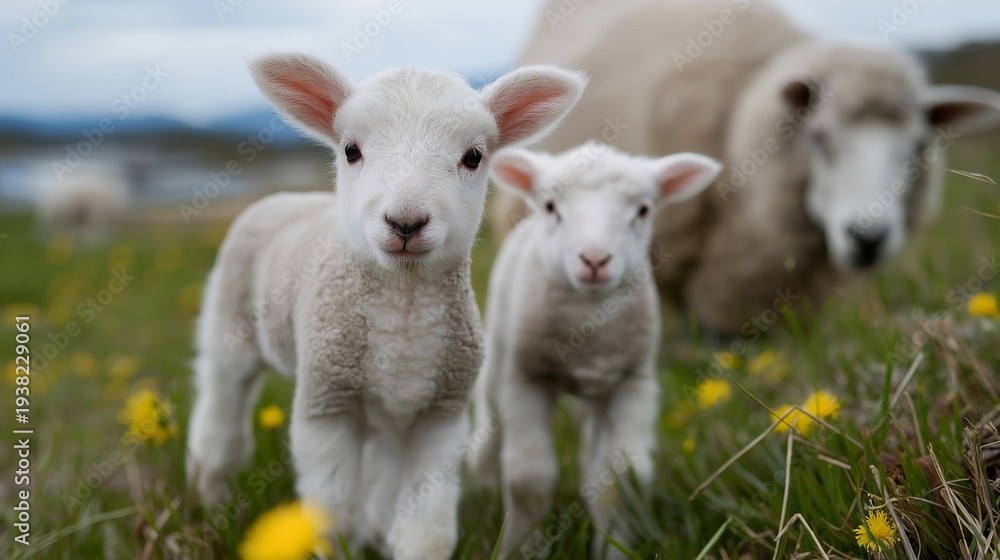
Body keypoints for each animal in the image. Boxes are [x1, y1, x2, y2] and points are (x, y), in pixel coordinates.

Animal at [184, 52, 585, 560]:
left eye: (473, 157)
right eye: (351, 150)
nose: (406, 222)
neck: (404, 312)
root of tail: (284, 197)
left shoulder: (440, 414)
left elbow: (426, 529)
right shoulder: (326, 403)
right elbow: (333, 514)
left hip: (387, 410)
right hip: (229, 331)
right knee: (219, 425)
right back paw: (212, 500)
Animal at [470, 143, 721, 558]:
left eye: (643, 210)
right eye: (551, 206)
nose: (594, 260)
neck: (587, 322)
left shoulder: (632, 383)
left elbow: (621, 479)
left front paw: (615, 547)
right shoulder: (525, 380)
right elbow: (528, 478)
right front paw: (518, 548)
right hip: (497, 364)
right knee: (490, 426)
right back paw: (482, 481)